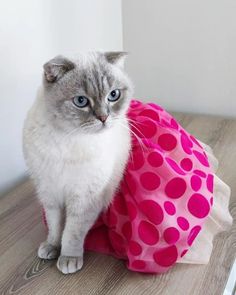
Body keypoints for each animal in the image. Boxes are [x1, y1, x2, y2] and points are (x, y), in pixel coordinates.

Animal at [23, 51, 134, 276]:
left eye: (113, 95)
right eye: (81, 101)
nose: (103, 117)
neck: (68, 137)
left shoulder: (85, 197)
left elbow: (72, 232)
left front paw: (68, 258)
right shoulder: (49, 192)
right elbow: (55, 226)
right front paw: (51, 247)